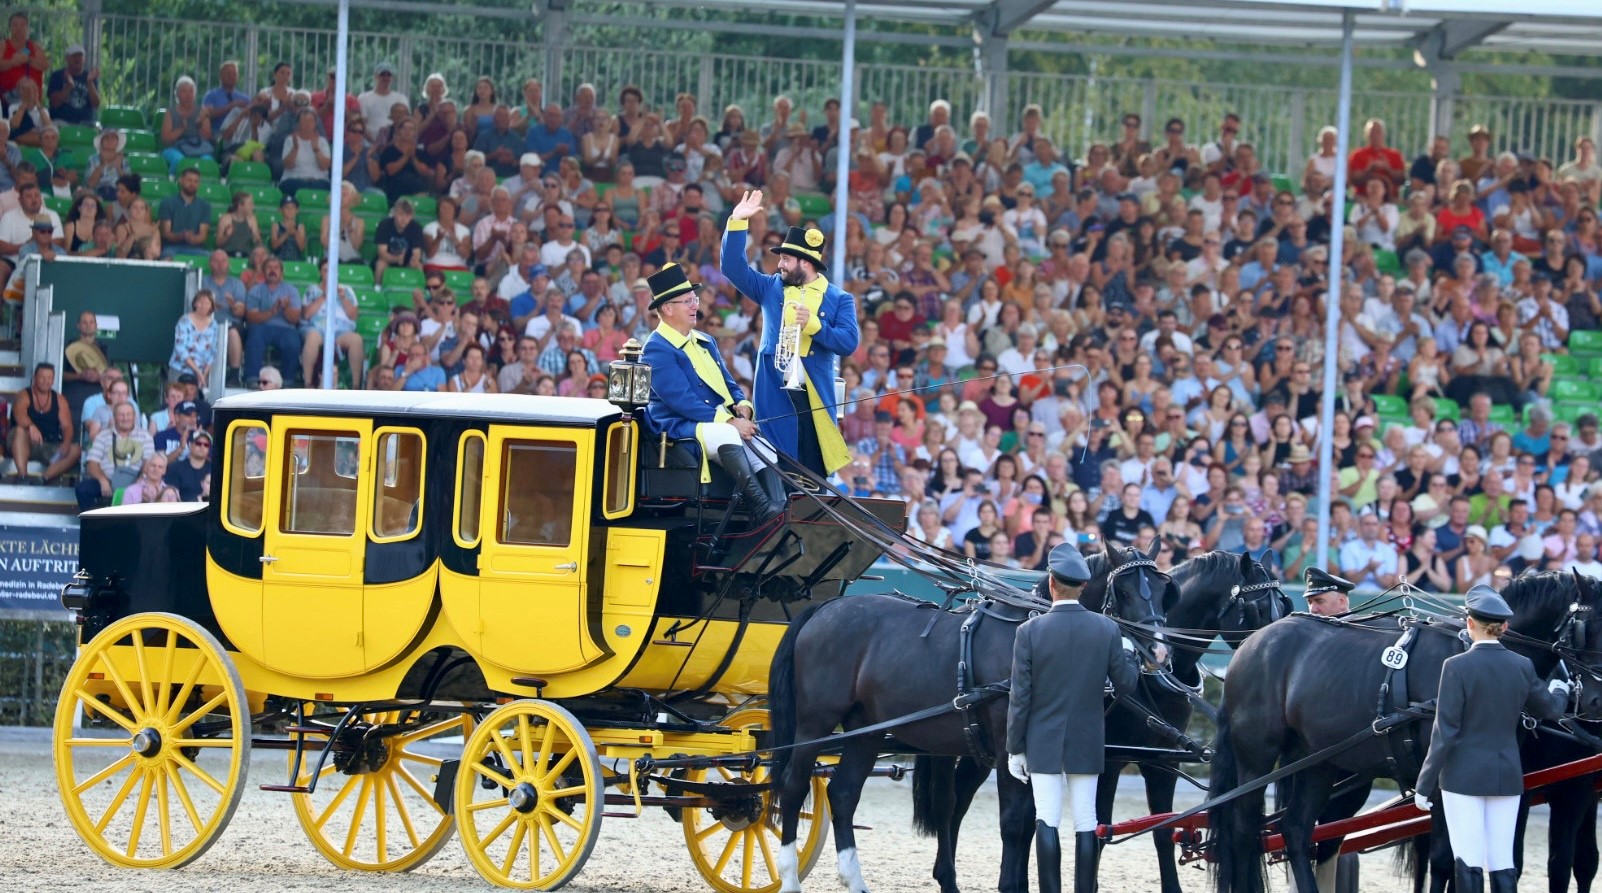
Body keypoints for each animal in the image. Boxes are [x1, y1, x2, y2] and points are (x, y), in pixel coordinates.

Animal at [765, 538, 1179, 891]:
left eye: (1163, 590)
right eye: (1123, 591)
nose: (1159, 652)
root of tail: (826, 609)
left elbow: (1031, 821)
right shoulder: (1008, 748)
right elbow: (1014, 822)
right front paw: (1010, 885)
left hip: (865, 730)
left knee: (844, 793)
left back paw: (854, 881)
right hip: (814, 723)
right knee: (793, 786)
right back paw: (789, 878)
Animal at [916, 551, 1288, 891]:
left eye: (1283, 607)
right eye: (1257, 610)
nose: (1270, 654)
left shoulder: (1162, 761)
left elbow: (1162, 831)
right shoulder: (1109, 758)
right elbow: (1099, 828)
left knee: (965, 796)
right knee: (952, 801)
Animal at [1204, 570, 1595, 891]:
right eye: (1589, 627)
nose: (1592, 700)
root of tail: (1251, 644)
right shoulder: (1443, 781)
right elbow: (1446, 859)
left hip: (1317, 761)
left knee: (1297, 831)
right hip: (1256, 758)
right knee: (1244, 832)